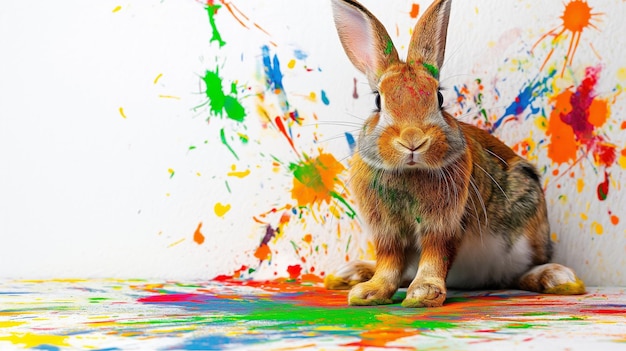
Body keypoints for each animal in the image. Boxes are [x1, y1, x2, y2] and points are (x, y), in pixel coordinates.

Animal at [322, 0, 584, 308]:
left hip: (526, 225)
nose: (413, 140)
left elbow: (435, 256)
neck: (410, 171)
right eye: (377, 101)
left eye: (439, 97)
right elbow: (389, 263)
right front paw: (368, 293)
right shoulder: (387, 233)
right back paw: (351, 273)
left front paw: (423, 294)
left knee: (518, 274)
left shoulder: (445, 225)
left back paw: (557, 277)